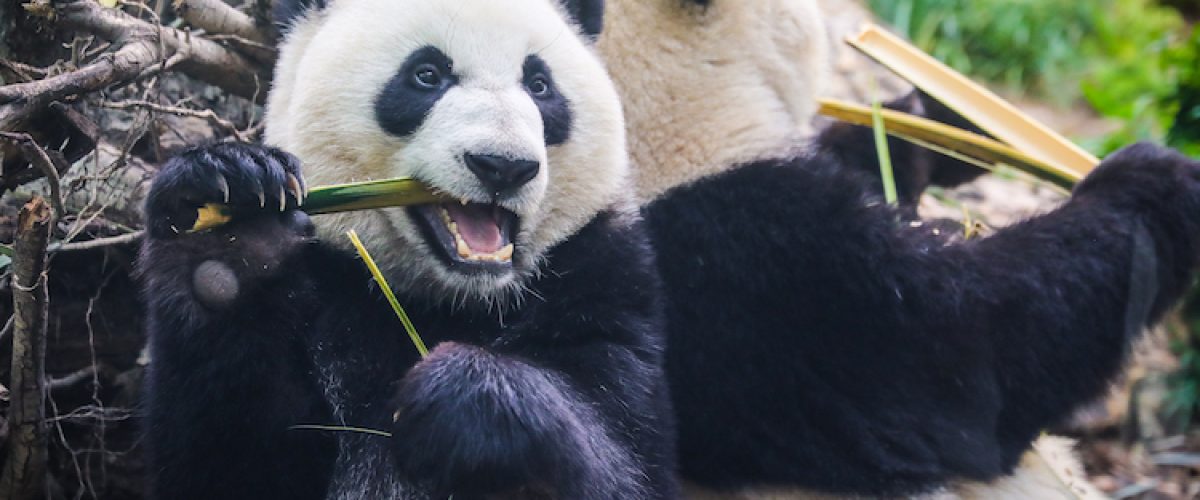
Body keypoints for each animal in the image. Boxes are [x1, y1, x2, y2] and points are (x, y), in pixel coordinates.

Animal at [137, 0, 678, 499]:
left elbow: (626, 463)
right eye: (427, 74)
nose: (503, 166)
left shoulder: (600, 278)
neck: (459, 300)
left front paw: (464, 395)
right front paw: (233, 230)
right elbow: (230, 462)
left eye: (540, 85)